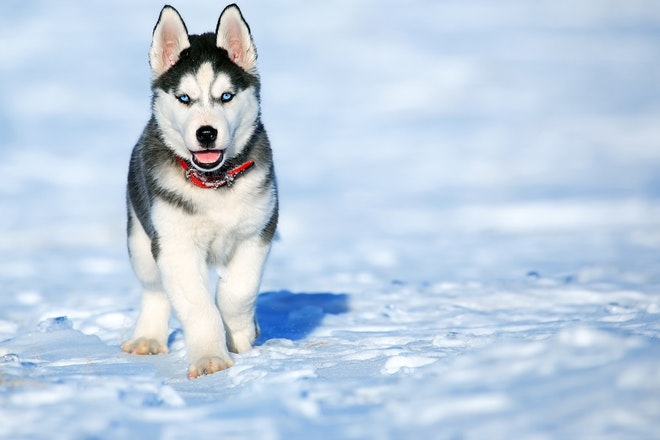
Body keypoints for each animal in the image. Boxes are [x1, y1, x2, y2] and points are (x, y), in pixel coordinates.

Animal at [122, 3, 278, 380]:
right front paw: (211, 358)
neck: (213, 183)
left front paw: (241, 333)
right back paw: (147, 337)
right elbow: (197, 305)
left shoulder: (257, 231)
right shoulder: (174, 245)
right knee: (154, 289)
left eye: (226, 96)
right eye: (184, 99)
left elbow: (238, 291)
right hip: (140, 238)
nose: (206, 133)